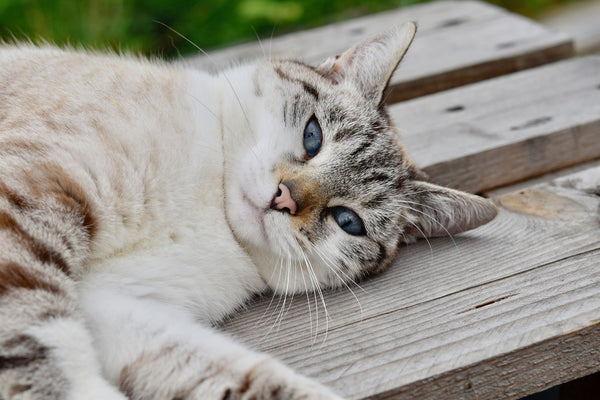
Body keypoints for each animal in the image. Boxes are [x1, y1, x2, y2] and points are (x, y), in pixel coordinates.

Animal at [0, 22, 496, 400]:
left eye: (347, 221)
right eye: (313, 136)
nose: (284, 198)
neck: (210, 217)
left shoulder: (122, 309)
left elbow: (247, 378)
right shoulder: (36, 191)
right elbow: (35, 341)